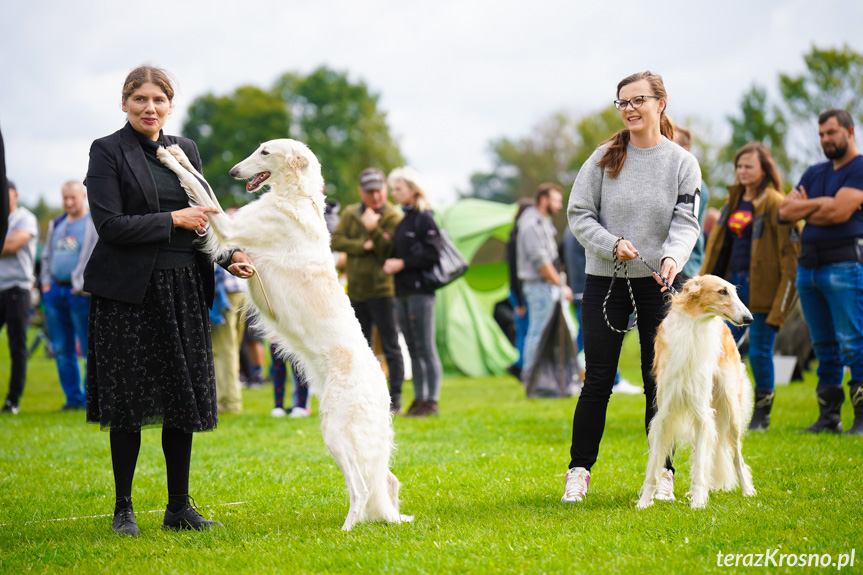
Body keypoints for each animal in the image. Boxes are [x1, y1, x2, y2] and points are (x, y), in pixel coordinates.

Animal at [157, 140, 414, 532]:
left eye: (264, 152)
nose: (233, 171)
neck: (297, 197)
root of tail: (381, 382)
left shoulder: (229, 223)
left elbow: (200, 188)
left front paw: (169, 159)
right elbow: (201, 181)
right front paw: (177, 153)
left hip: (335, 432)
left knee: (359, 487)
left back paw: (346, 529)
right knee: (388, 480)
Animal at [636, 274, 760, 508]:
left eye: (735, 291)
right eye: (722, 291)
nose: (748, 318)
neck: (694, 328)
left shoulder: (702, 412)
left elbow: (701, 465)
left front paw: (699, 502)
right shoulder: (665, 412)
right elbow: (654, 465)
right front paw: (644, 502)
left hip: (731, 409)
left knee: (737, 457)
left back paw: (748, 491)